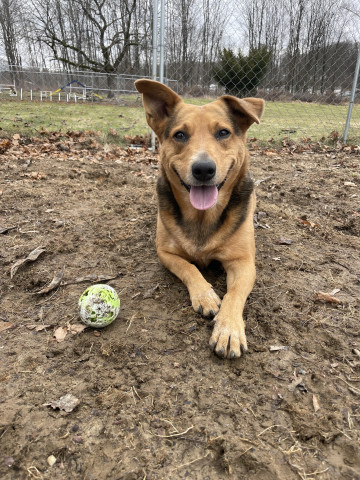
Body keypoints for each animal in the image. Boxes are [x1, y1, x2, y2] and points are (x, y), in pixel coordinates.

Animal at [135, 79, 264, 358]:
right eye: (180, 135)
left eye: (223, 133)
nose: (203, 169)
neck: (202, 216)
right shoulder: (165, 253)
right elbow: (189, 267)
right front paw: (205, 295)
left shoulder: (243, 262)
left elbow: (234, 294)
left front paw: (228, 329)